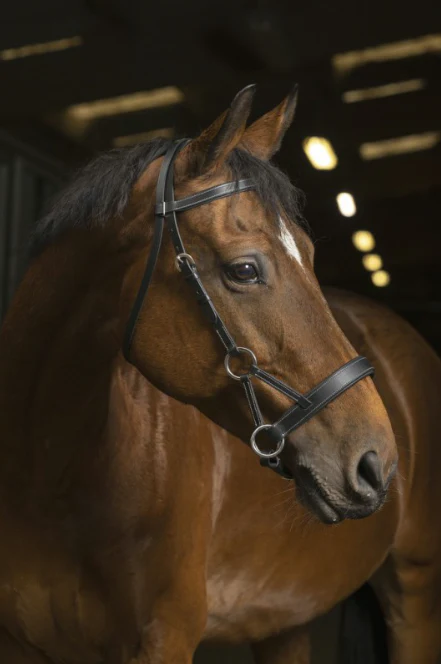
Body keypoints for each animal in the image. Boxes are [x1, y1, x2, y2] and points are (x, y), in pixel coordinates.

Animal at [0, 83, 440, 664]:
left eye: (310, 256)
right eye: (245, 269)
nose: (376, 462)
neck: (51, 478)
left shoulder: (164, 638)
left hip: (415, 592)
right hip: (284, 622)